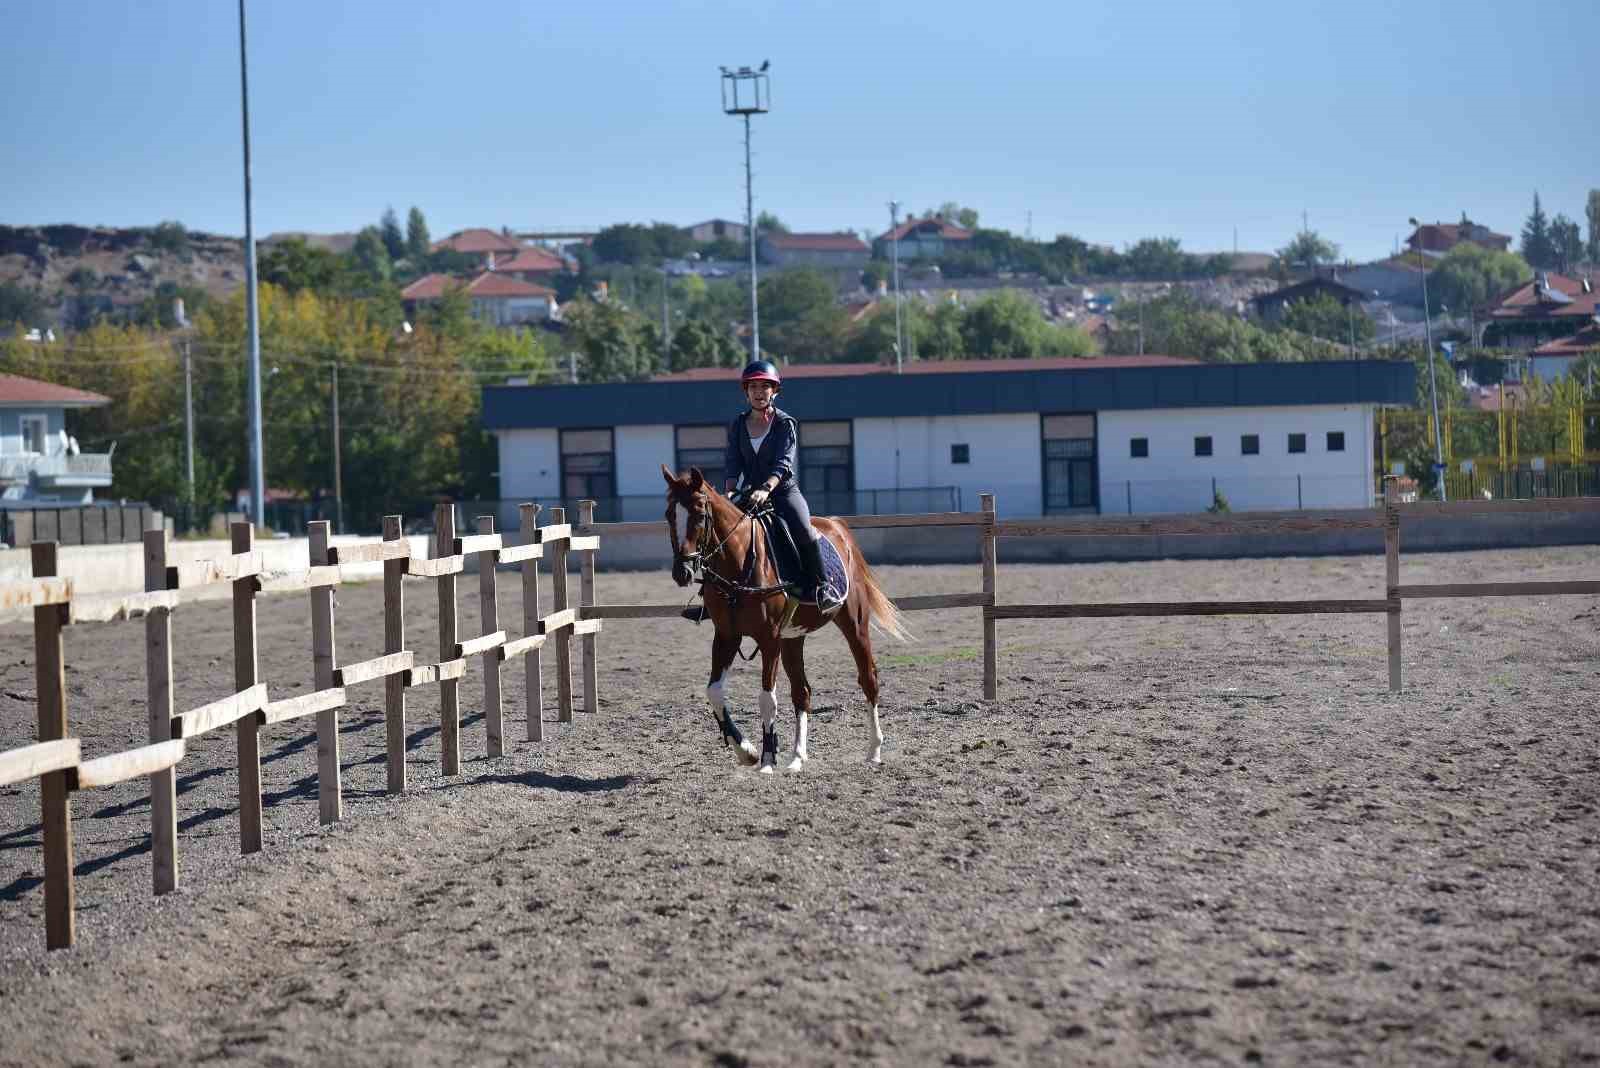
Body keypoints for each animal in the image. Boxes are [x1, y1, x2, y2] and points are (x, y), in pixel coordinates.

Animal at [662, 463, 915, 770]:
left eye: (699, 514)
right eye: (669, 515)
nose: (682, 572)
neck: (740, 562)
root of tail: (837, 526)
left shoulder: (769, 638)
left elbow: (767, 699)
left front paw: (767, 759)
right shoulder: (726, 636)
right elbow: (714, 692)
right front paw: (746, 751)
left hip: (854, 625)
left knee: (868, 679)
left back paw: (874, 750)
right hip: (793, 638)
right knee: (802, 692)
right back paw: (797, 757)